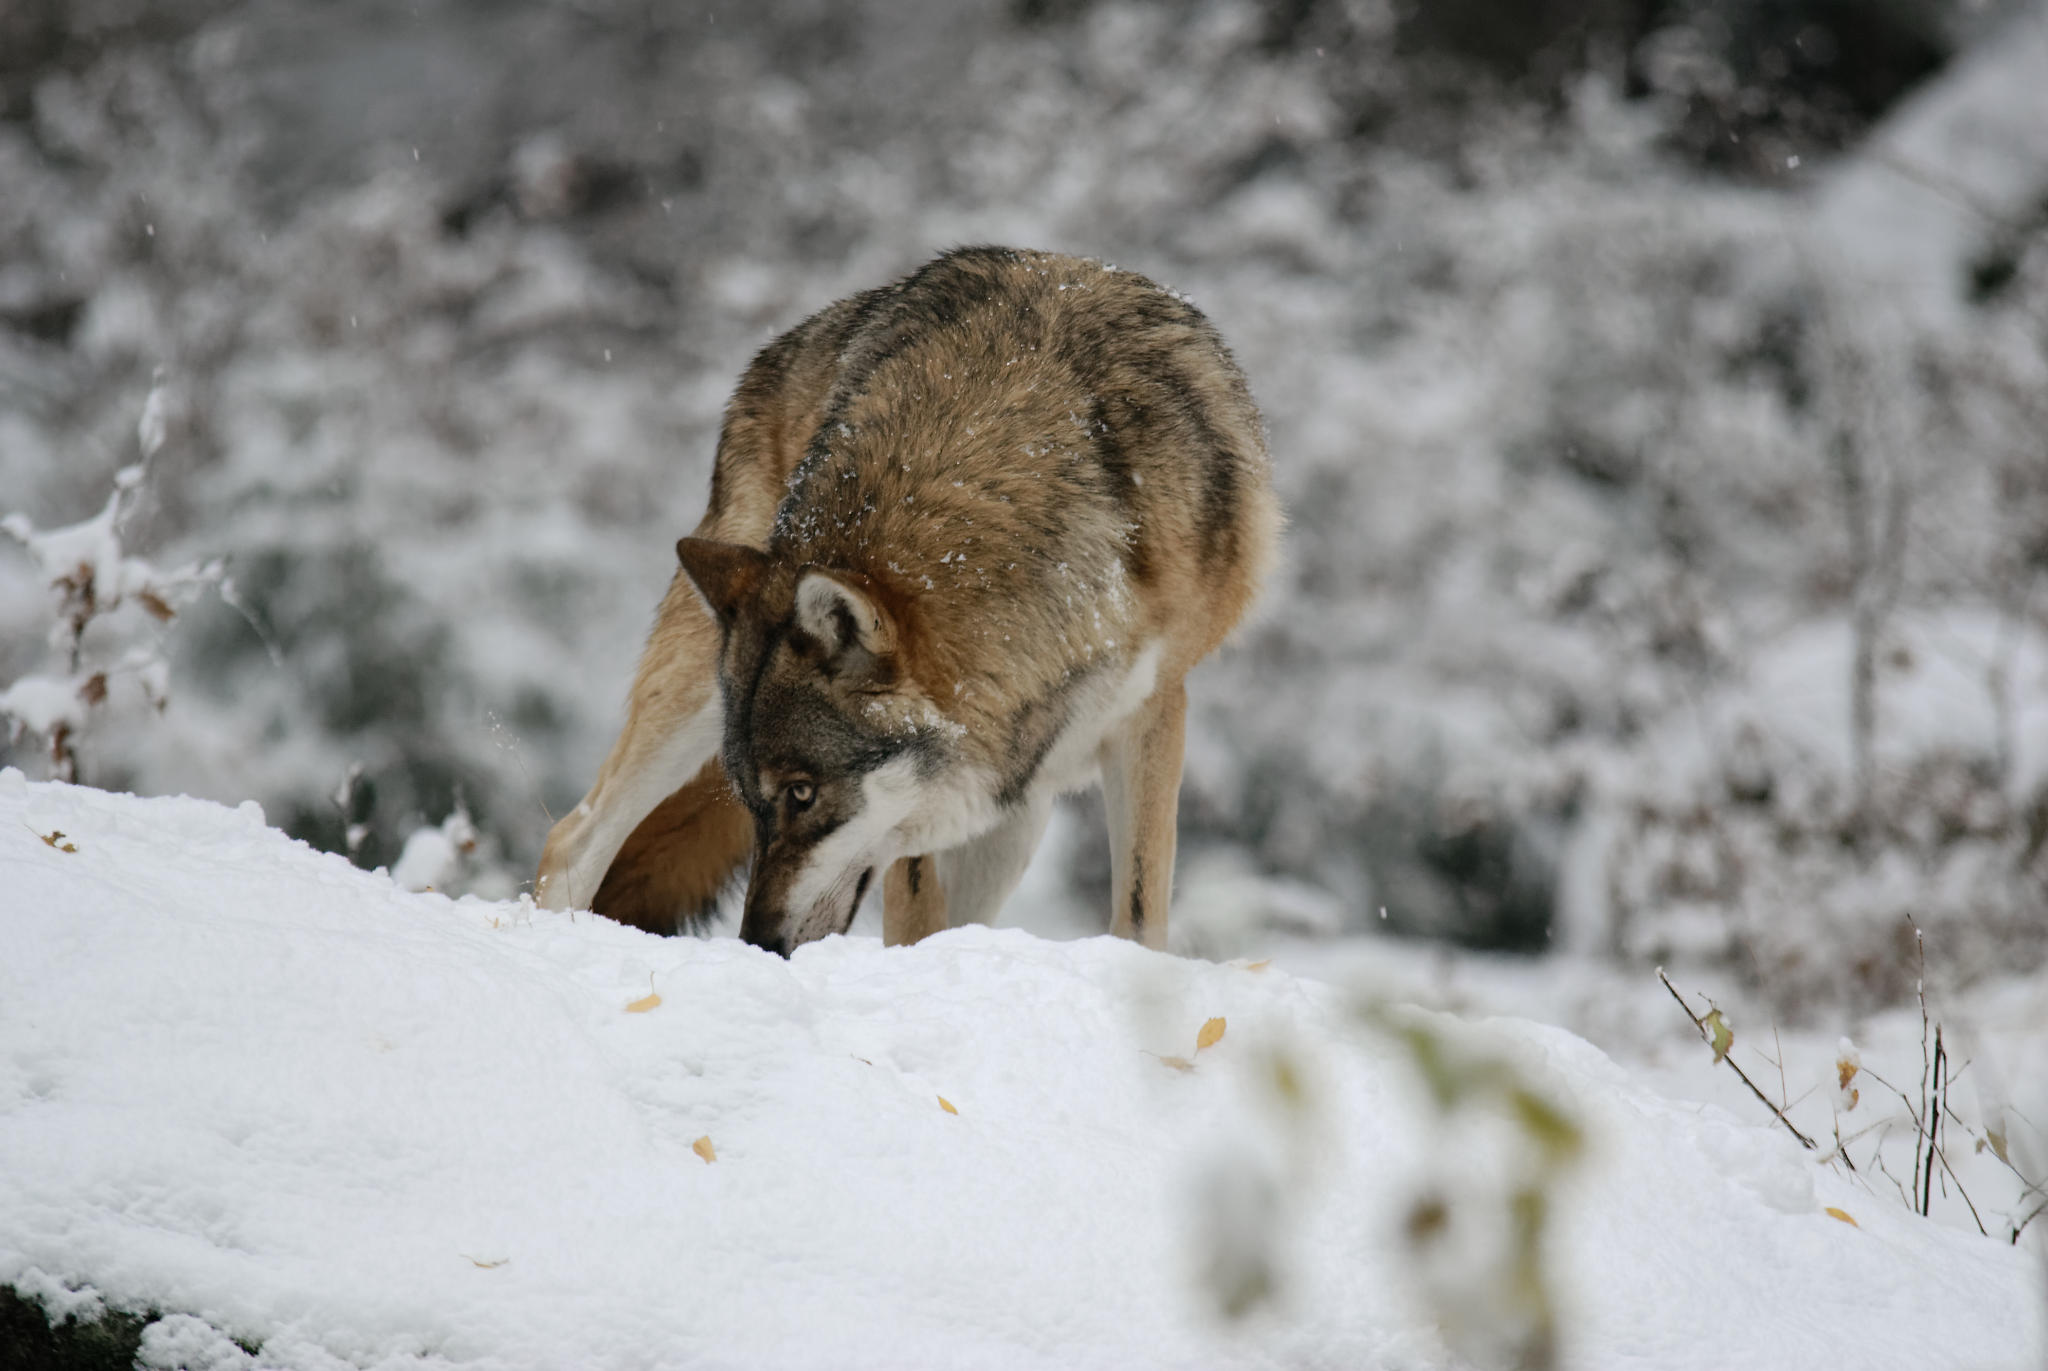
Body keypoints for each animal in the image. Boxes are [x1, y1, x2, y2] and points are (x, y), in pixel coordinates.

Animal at [534, 246, 1279, 955]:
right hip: (692, 693)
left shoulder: (1154, 709)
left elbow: (1141, 912)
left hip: (1020, 813)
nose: (757, 942)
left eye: (802, 794)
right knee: (572, 838)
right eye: (755, 802)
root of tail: (776, 352)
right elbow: (918, 923)